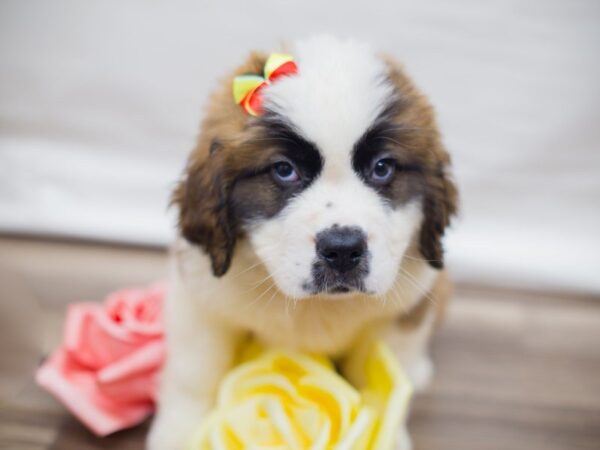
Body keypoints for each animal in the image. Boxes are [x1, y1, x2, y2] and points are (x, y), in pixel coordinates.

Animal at [148, 35, 458, 450]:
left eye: (382, 168)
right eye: (284, 170)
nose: (342, 249)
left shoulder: (401, 312)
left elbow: (387, 382)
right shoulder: (200, 301)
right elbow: (193, 373)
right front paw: (178, 432)